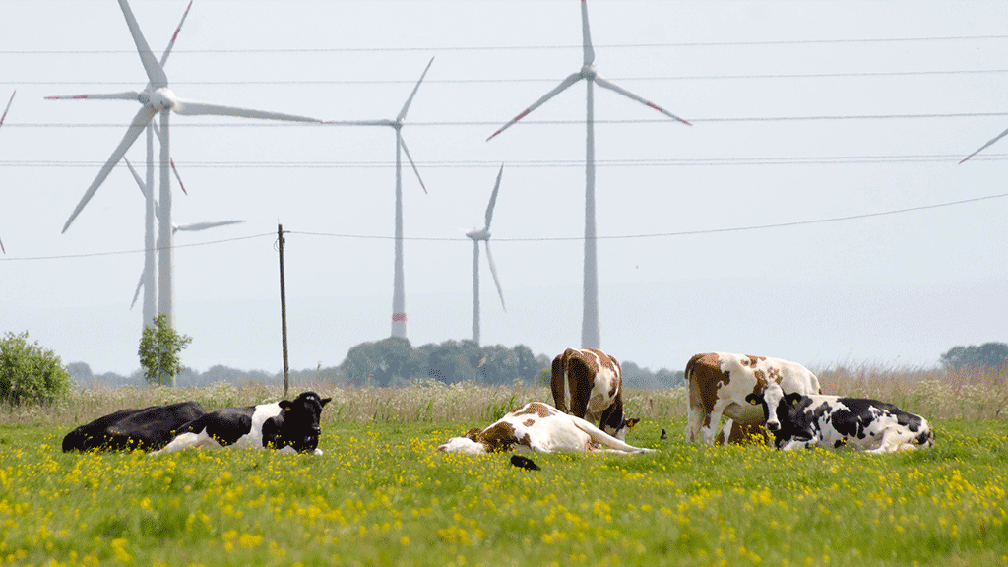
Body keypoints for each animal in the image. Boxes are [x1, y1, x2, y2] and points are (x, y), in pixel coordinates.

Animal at [151, 387, 330, 454]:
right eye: (301, 411)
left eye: (320, 410)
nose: (316, 429)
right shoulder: (272, 446)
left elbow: (319, 452)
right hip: (181, 443)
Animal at [745, 379, 931, 454]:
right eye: (764, 403)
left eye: (783, 403)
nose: (772, 424)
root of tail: (925, 423)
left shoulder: (810, 436)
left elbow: (785, 450)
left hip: (892, 433)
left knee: (884, 450)